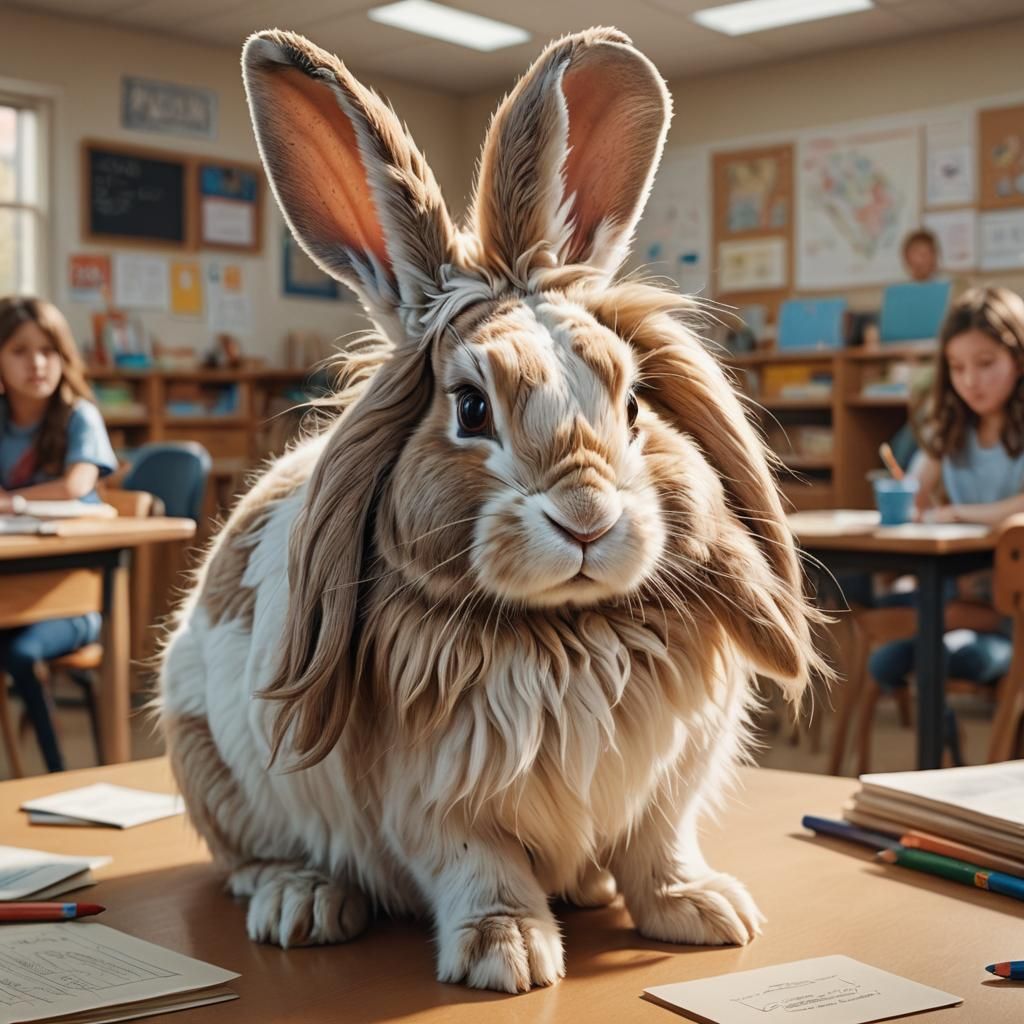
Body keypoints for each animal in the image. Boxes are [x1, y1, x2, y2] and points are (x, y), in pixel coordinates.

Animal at [157, 25, 825, 995]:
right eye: (472, 409)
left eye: (633, 403)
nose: (586, 515)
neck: (567, 631)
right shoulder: (439, 809)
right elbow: (483, 870)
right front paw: (506, 955)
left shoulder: (668, 784)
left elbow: (659, 850)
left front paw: (706, 914)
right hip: (208, 762)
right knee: (248, 859)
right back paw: (302, 902)